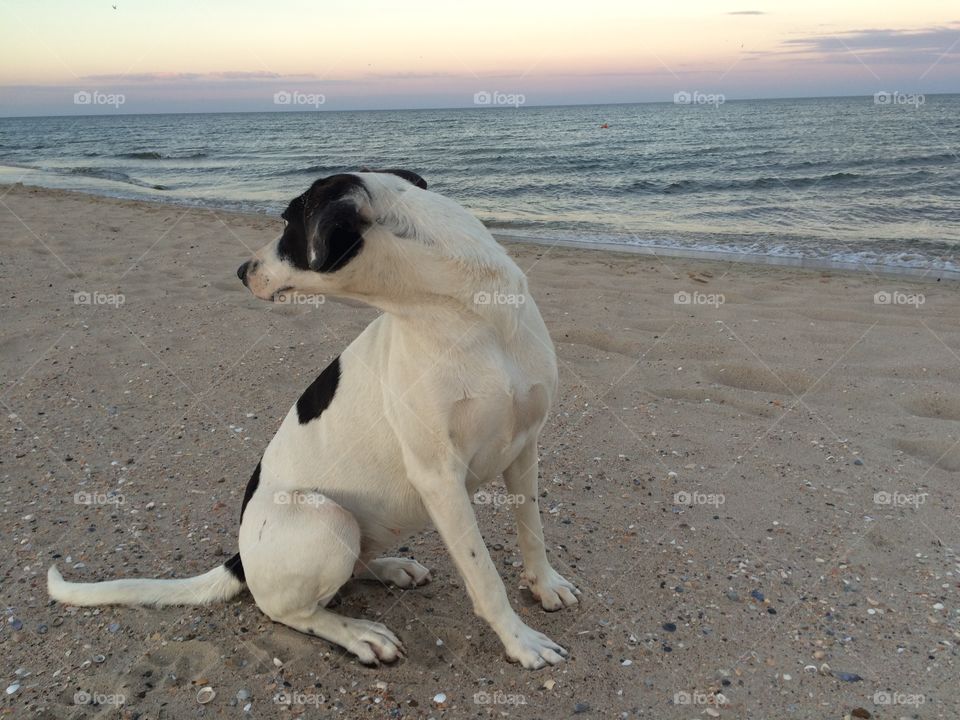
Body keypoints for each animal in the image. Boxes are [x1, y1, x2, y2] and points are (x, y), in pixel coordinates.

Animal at [47, 169, 576, 668]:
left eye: (287, 222)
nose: (241, 270)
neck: (465, 312)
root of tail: (240, 557)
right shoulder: (439, 476)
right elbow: (484, 576)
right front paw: (520, 641)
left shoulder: (524, 446)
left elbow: (532, 532)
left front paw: (544, 585)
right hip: (327, 517)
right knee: (288, 611)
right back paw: (357, 633)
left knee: (353, 568)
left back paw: (392, 569)